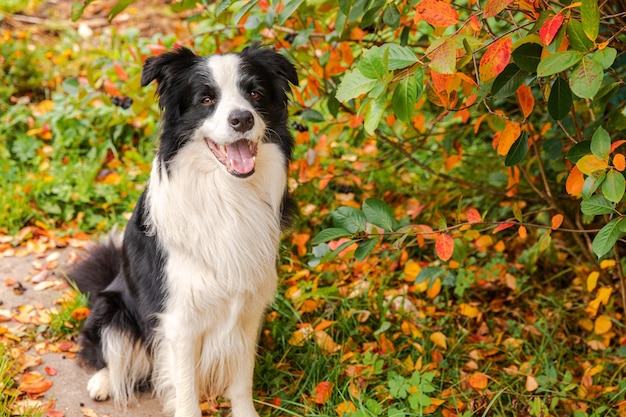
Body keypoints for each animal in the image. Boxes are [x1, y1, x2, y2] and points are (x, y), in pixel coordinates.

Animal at [69, 43, 298, 416]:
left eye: (255, 93)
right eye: (206, 99)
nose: (242, 119)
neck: (227, 195)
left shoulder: (248, 310)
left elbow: (241, 381)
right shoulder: (179, 320)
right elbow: (187, 392)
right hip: (111, 309)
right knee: (109, 353)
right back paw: (104, 382)